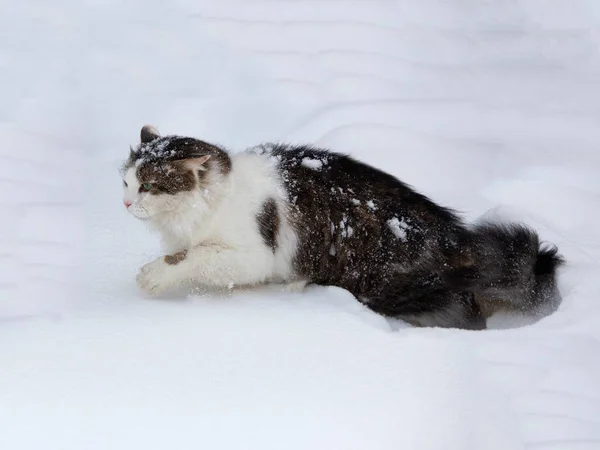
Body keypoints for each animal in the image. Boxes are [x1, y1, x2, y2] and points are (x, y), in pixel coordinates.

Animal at [122, 126, 564, 330]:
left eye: (149, 186)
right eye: (125, 182)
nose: (125, 203)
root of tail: (456, 237)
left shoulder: (252, 253)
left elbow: (195, 257)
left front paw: (154, 275)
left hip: (384, 284)